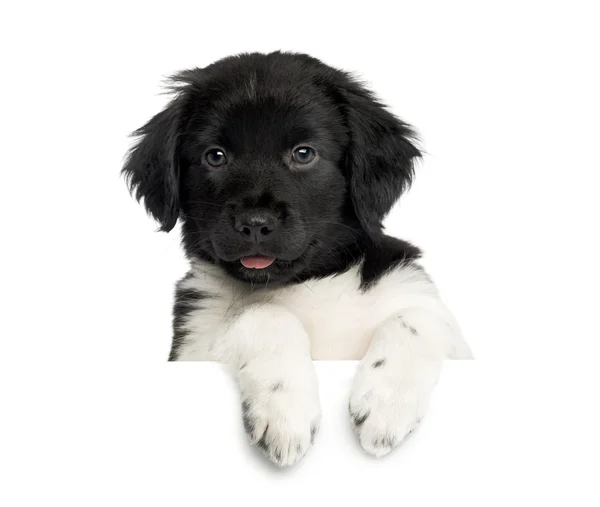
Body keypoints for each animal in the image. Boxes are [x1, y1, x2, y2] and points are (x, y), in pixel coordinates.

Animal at [122, 51, 468, 468]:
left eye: (304, 153)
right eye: (215, 157)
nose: (255, 224)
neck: (308, 284)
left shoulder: (422, 302)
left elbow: (420, 318)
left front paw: (387, 401)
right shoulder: (192, 348)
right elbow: (262, 313)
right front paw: (284, 408)